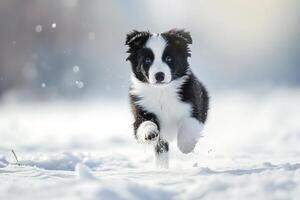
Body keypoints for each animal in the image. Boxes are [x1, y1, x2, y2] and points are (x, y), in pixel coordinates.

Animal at [125, 28, 209, 168]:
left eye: (169, 58)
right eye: (147, 60)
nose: (159, 75)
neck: (162, 92)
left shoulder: (194, 105)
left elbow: (189, 123)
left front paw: (186, 145)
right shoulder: (140, 108)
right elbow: (144, 123)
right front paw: (150, 133)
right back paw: (162, 168)